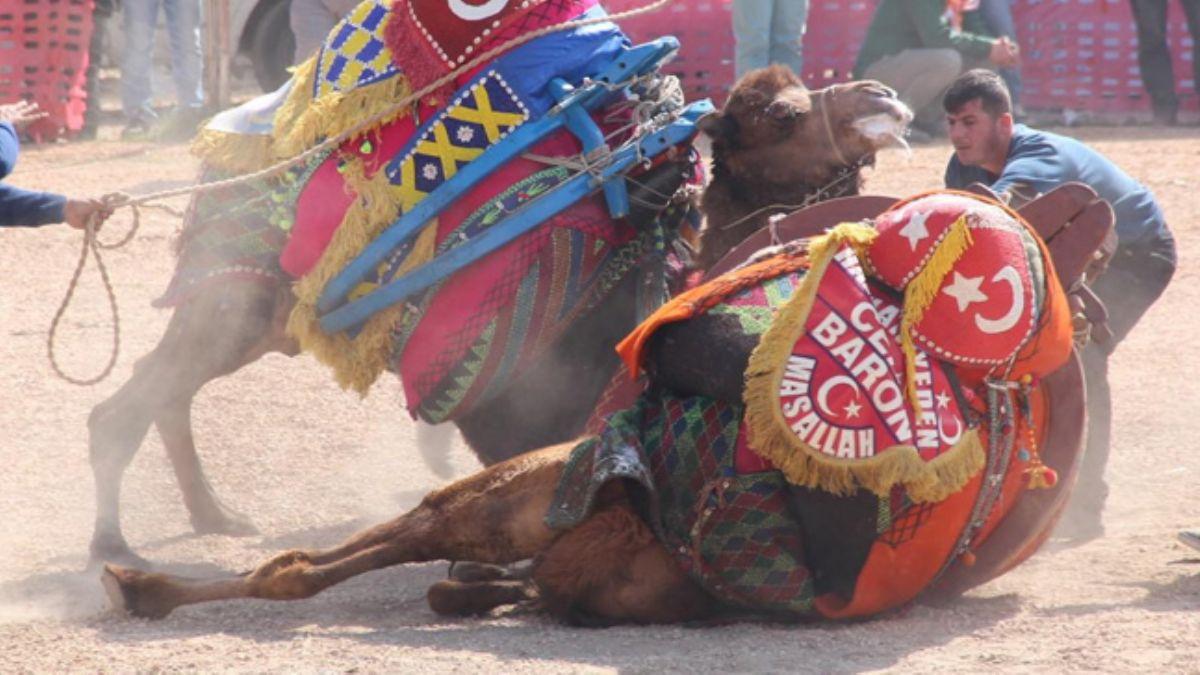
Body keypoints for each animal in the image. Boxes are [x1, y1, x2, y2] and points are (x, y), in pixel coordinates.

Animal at [87, 63, 907, 562]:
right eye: (781, 113)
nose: (883, 95)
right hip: (239, 304)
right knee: (127, 404)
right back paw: (114, 547)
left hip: (245, 318)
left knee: (163, 388)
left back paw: (213, 516)